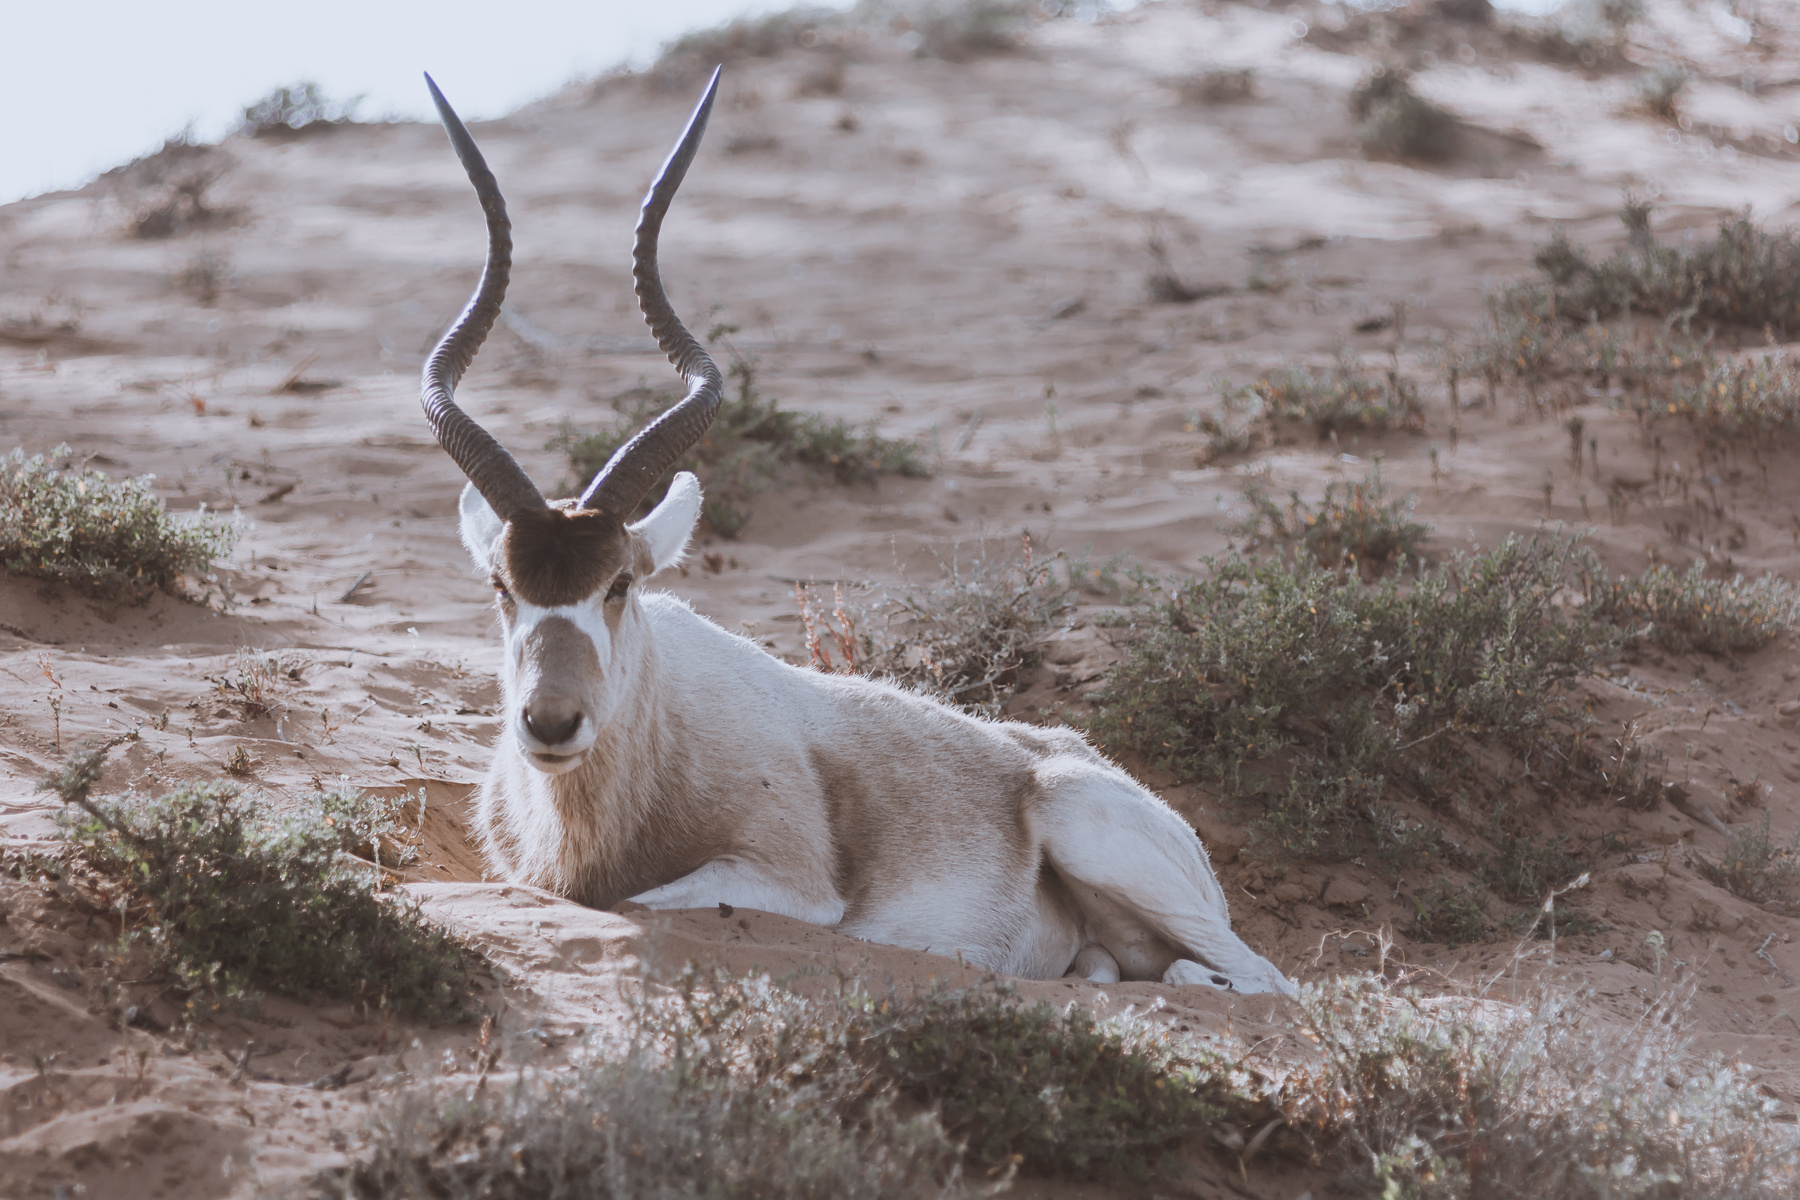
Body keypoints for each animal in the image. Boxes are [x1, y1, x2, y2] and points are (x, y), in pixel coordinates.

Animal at [421, 70, 1296, 1000]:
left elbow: (635, 901)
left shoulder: (791, 886)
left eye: (619, 584)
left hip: (1086, 825)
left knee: (1264, 978)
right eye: (502, 587)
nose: (551, 723)